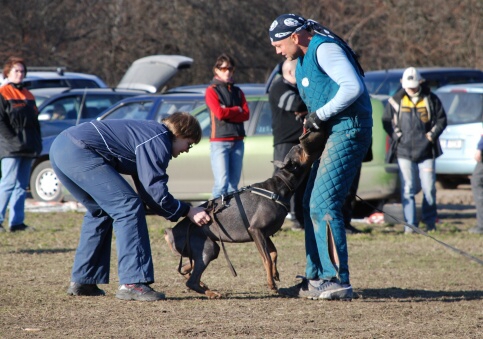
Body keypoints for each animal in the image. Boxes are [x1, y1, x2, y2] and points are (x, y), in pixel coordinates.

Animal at [164, 131, 326, 298]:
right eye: (300, 148)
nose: (304, 136)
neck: (280, 187)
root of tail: (171, 232)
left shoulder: (265, 233)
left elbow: (274, 253)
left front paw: (275, 274)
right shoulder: (255, 230)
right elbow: (267, 258)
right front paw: (271, 284)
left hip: (206, 249)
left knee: (185, 269)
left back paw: (202, 284)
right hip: (207, 247)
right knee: (191, 280)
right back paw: (210, 293)